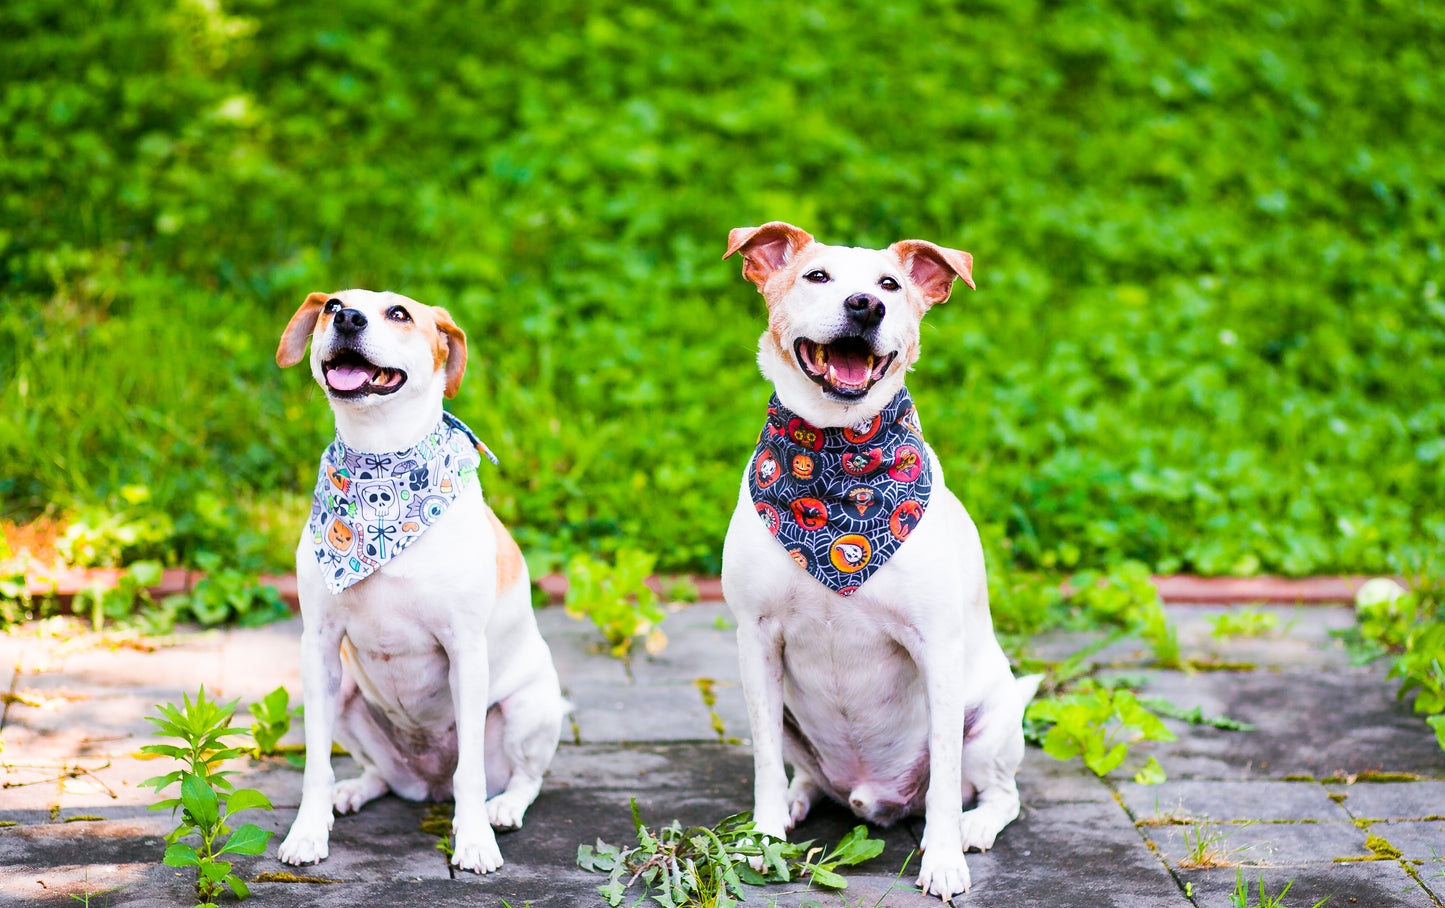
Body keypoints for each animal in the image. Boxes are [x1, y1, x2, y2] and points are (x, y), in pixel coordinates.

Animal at [273, 289, 566, 873]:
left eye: (399, 314)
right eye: (332, 304)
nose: (347, 318)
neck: (379, 464)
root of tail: (427, 784)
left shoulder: (465, 652)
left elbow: (470, 773)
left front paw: (474, 841)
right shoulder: (319, 648)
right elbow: (315, 766)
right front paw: (309, 833)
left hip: (530, 707)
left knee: (524, 778)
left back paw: (503, 808)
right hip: (347, 697)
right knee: (380, 774)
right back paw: (353, 790)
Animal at [719, 224, 1040, 896]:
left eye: (890, 284)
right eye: (816, 277)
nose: (866, 306)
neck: (839, 453)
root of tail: (876, 797)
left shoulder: (936, 645)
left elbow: (944, 775)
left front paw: (942, 859)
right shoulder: (755, 639)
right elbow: (763, 761)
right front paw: (764, 839)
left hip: (992, 721)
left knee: (997, 793)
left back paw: (972, 827)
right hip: (794, 718)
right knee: (805, 774)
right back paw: (796, 805)